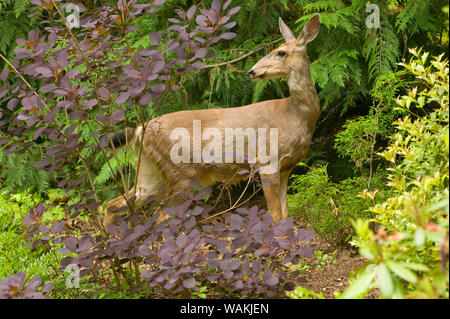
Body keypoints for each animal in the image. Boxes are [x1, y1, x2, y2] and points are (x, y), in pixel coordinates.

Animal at [102, 13, 320, 231]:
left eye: (281, 52)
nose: (251, 71)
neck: (294, 115)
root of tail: (141, 129)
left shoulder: (286, 168)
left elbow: (285, 214)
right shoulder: (267, 161)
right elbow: (276, 217)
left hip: (152, 171)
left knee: (116, 203)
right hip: (181, 172)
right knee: (160, 215)